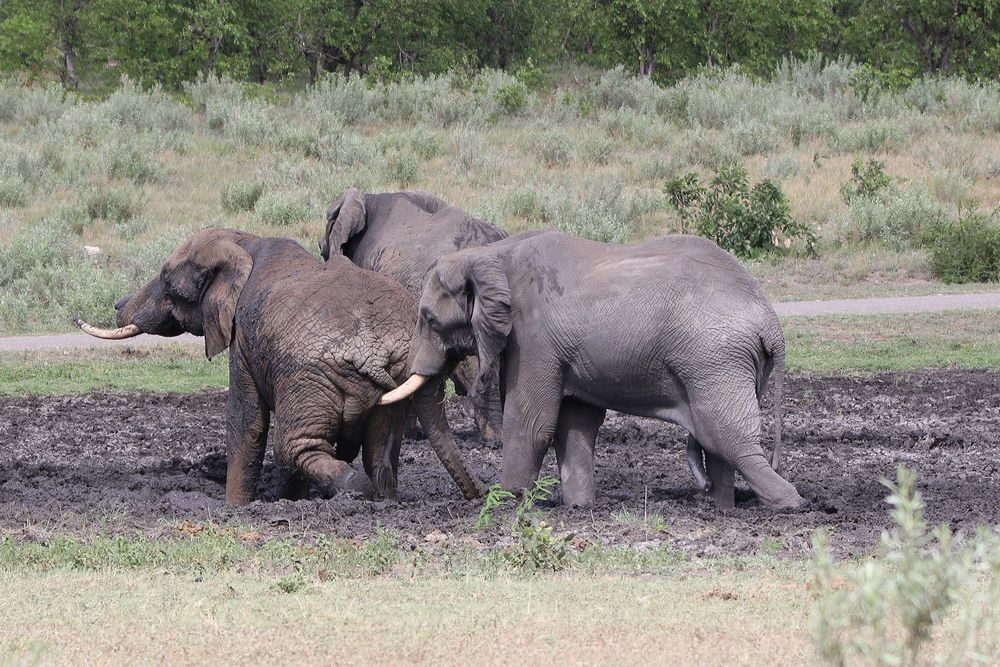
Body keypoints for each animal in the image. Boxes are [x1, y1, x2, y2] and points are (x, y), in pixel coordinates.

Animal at [75, 230, 484, 506]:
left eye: (166, 281)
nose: (117, 305)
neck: (243, 241)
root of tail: (373, 348)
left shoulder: (241, 337)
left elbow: (246, 422)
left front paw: (234, 509)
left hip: (308, 376)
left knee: (294, 446)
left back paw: (356, 492)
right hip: (385, 385)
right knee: (378, 452)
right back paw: (380, 498)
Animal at [382, 230, 804, 512]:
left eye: (428, 319)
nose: (477, 495)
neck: (489, 255)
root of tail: (769, 320)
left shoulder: (533, 337)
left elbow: (532, 423)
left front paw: (508, 502)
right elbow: (575, 424)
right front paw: (579, 507)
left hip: (714, 360)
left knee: (728, 436)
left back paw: (788, 503)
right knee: (717, 441)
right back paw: (722, 508)